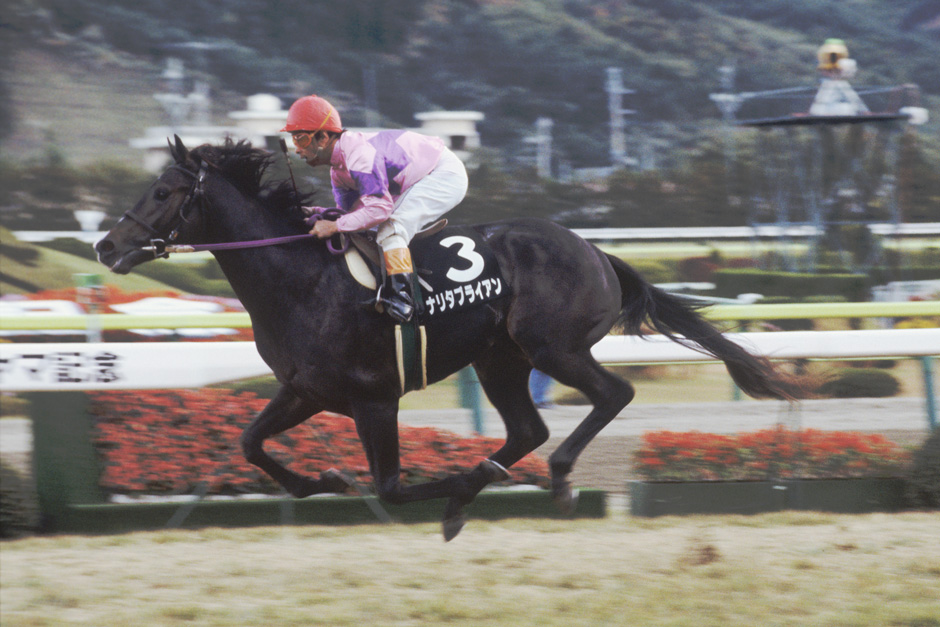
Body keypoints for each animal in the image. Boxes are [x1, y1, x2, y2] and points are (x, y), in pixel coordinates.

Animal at [96, 136, 799, 540]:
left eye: (163, 190)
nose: (106, 246)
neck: (301, 281)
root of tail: (596, 251)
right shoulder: (306, 390)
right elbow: (250, 443)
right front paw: (323, 479)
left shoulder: (375, 398)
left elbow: (390, 487)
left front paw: (448, 490)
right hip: (499, 360)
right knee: (528, 428)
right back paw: (500, 476)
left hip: (553, 347)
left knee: (612, 395)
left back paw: (558, 480)